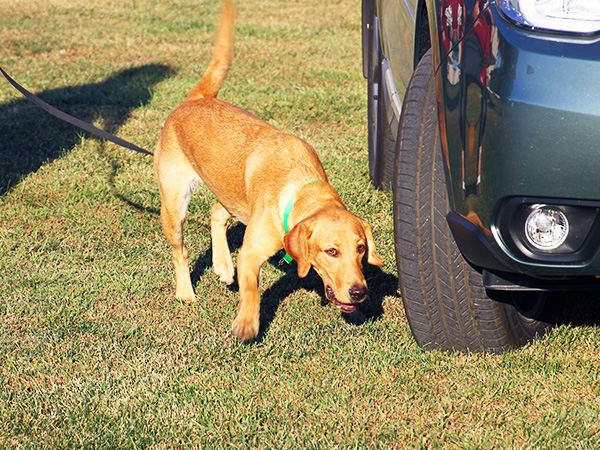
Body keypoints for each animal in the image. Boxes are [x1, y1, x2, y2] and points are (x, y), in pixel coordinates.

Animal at [152, 2, 382, 342]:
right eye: (331, 251)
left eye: (361, 248)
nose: (359, 292)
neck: (301, 187)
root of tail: (196, 100)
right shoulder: (251, 251)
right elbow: (252, 289)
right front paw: (247, 324)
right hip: (174, 203)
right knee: (179, 250)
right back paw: (186, 291)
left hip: (233, 194)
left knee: (215, 211)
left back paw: (222, 266)